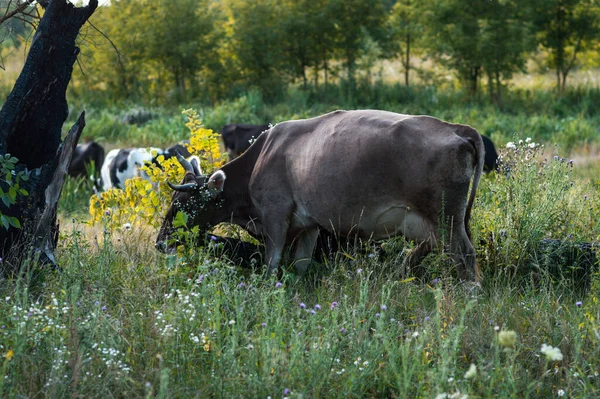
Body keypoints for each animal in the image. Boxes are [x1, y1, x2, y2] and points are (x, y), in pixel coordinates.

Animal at [157, 109, 486, 282]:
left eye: (181, 203)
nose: (160, 242)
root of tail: (457, 128)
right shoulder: (309, 225)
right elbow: (300, 265)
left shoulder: (275, 215)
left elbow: (272, 264)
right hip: (433, 222)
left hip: (446, 219)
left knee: (464, 255)